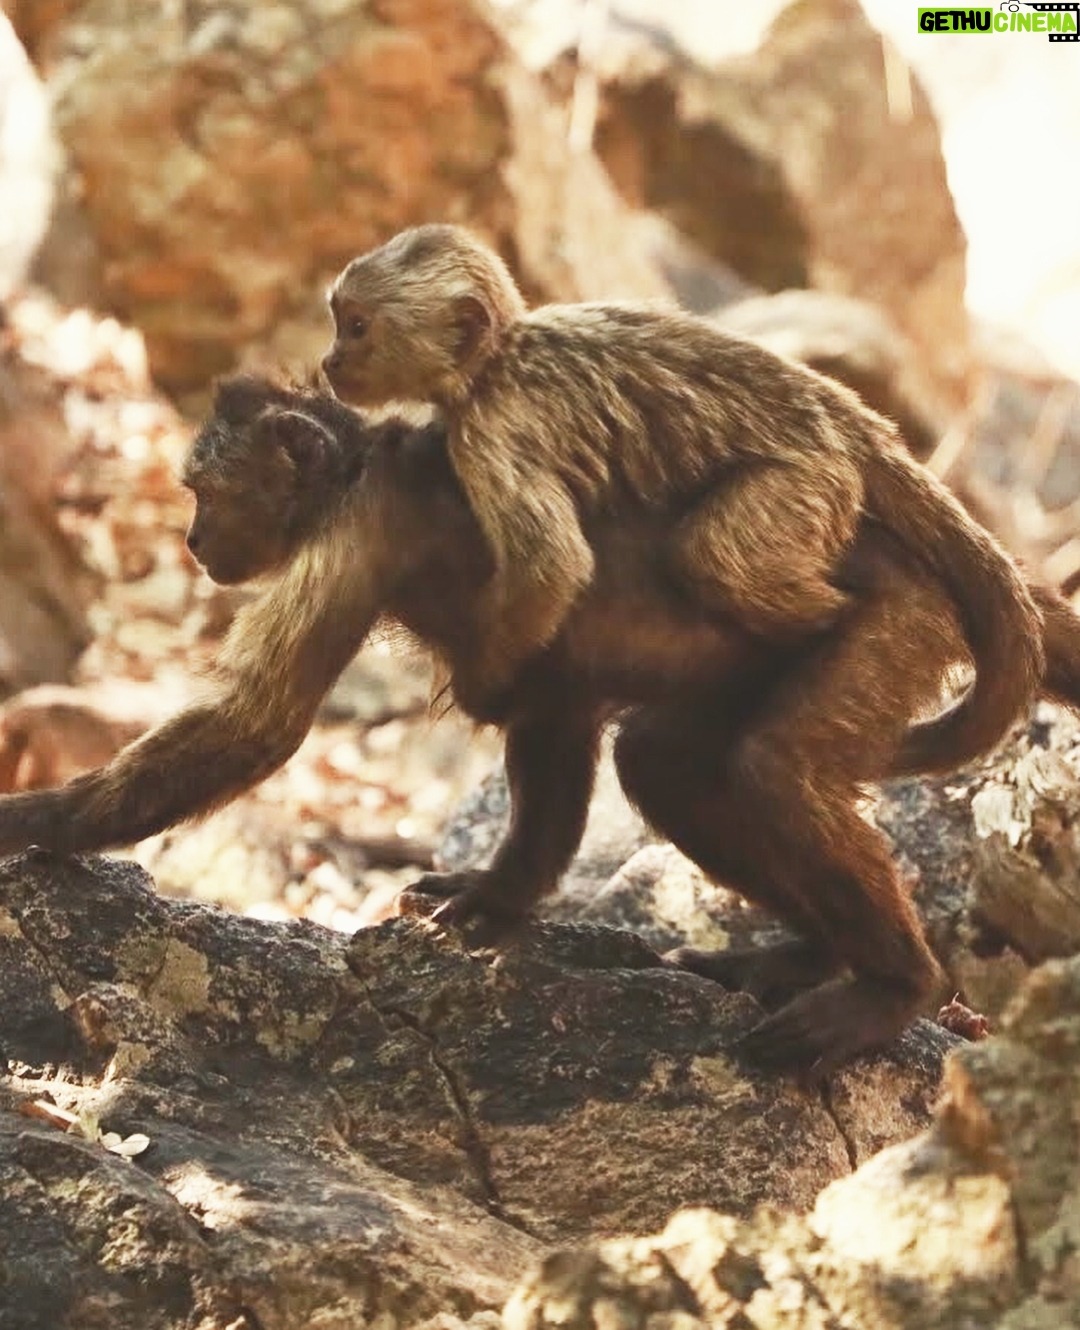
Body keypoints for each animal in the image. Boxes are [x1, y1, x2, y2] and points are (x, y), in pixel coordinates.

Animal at [2, 377, 1078, 1077]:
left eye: (203, 491)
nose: (191, 539)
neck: (360, 466)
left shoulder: (358, 527)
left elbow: (255, 724)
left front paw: (36, 820)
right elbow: (551, 706)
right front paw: (498, 894)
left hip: (897, 623)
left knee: (771, 763)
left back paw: (892, 987)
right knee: (668, 762)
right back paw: (809, 956)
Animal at [322, 224, 1043, 776]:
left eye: (356, 327)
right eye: (338, 323)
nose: (329, 363)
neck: (493, 362)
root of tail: (845, 421)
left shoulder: (491, 433)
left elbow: (553, 565)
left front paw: (479, 685)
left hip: (808, 484)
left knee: (715, 555)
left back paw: (826, 628)